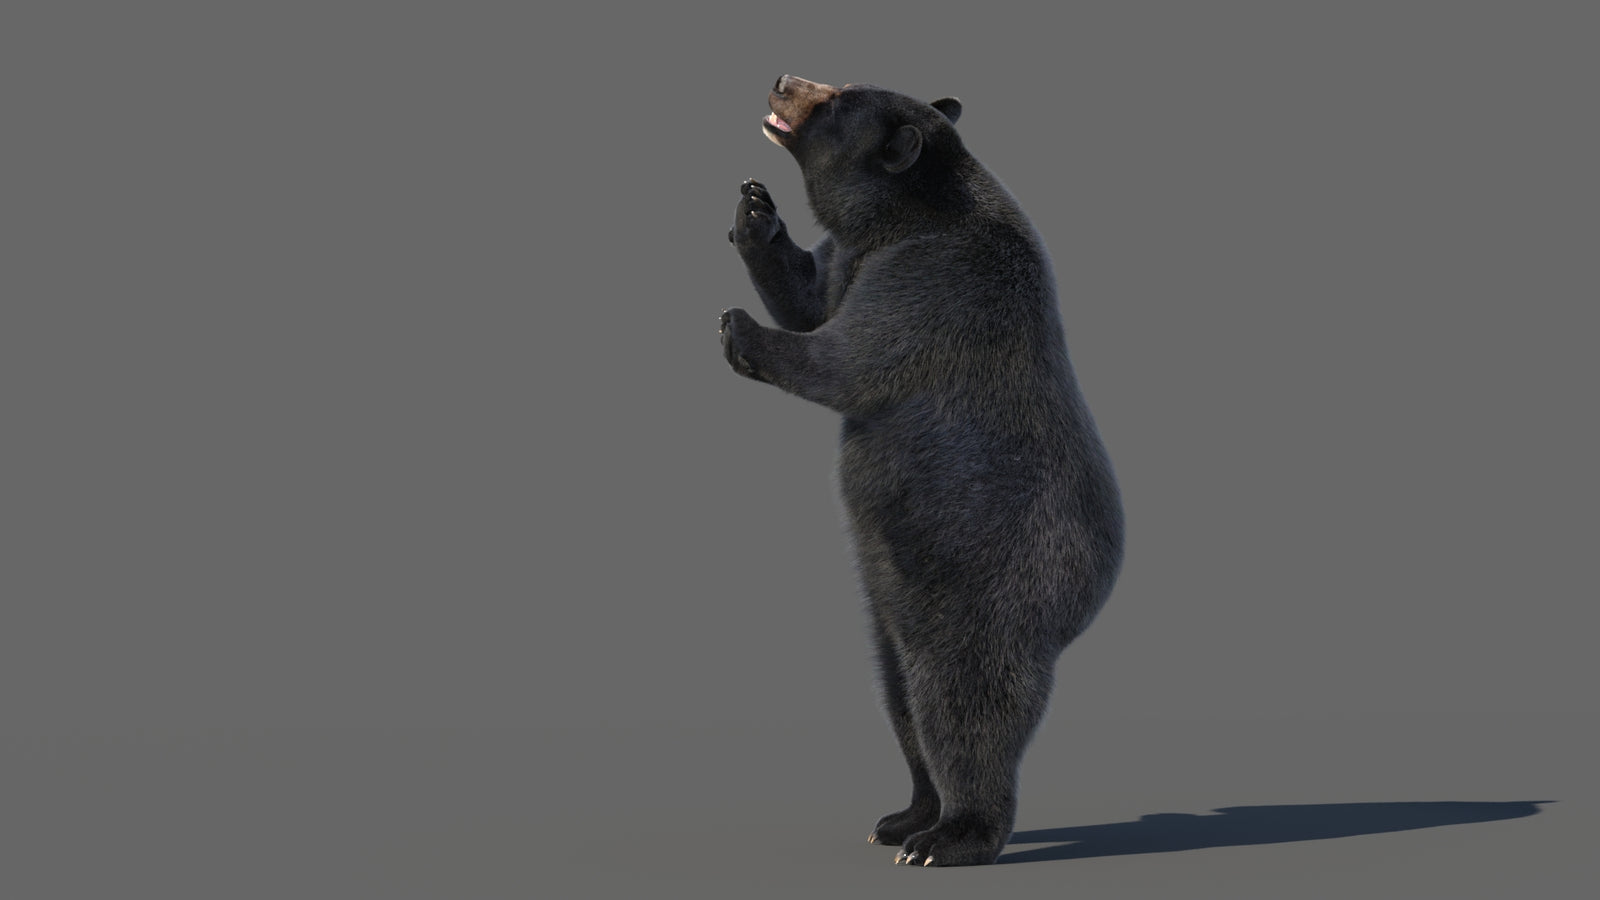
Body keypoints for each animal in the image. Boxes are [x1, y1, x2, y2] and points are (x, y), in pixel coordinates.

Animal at [719, 75, 1124, 867]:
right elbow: (813, 297)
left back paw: (952, 836)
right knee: (899, 694)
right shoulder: (856, 256)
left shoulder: (934, 279)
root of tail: (1091, 596)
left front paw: (739, 328)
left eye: (839, 100)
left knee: (960, 705)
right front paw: (755, 213)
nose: (784, 80)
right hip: (890, 600)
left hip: (988, 588)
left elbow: (849, 357)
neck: (904, 216)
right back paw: (904, 816)